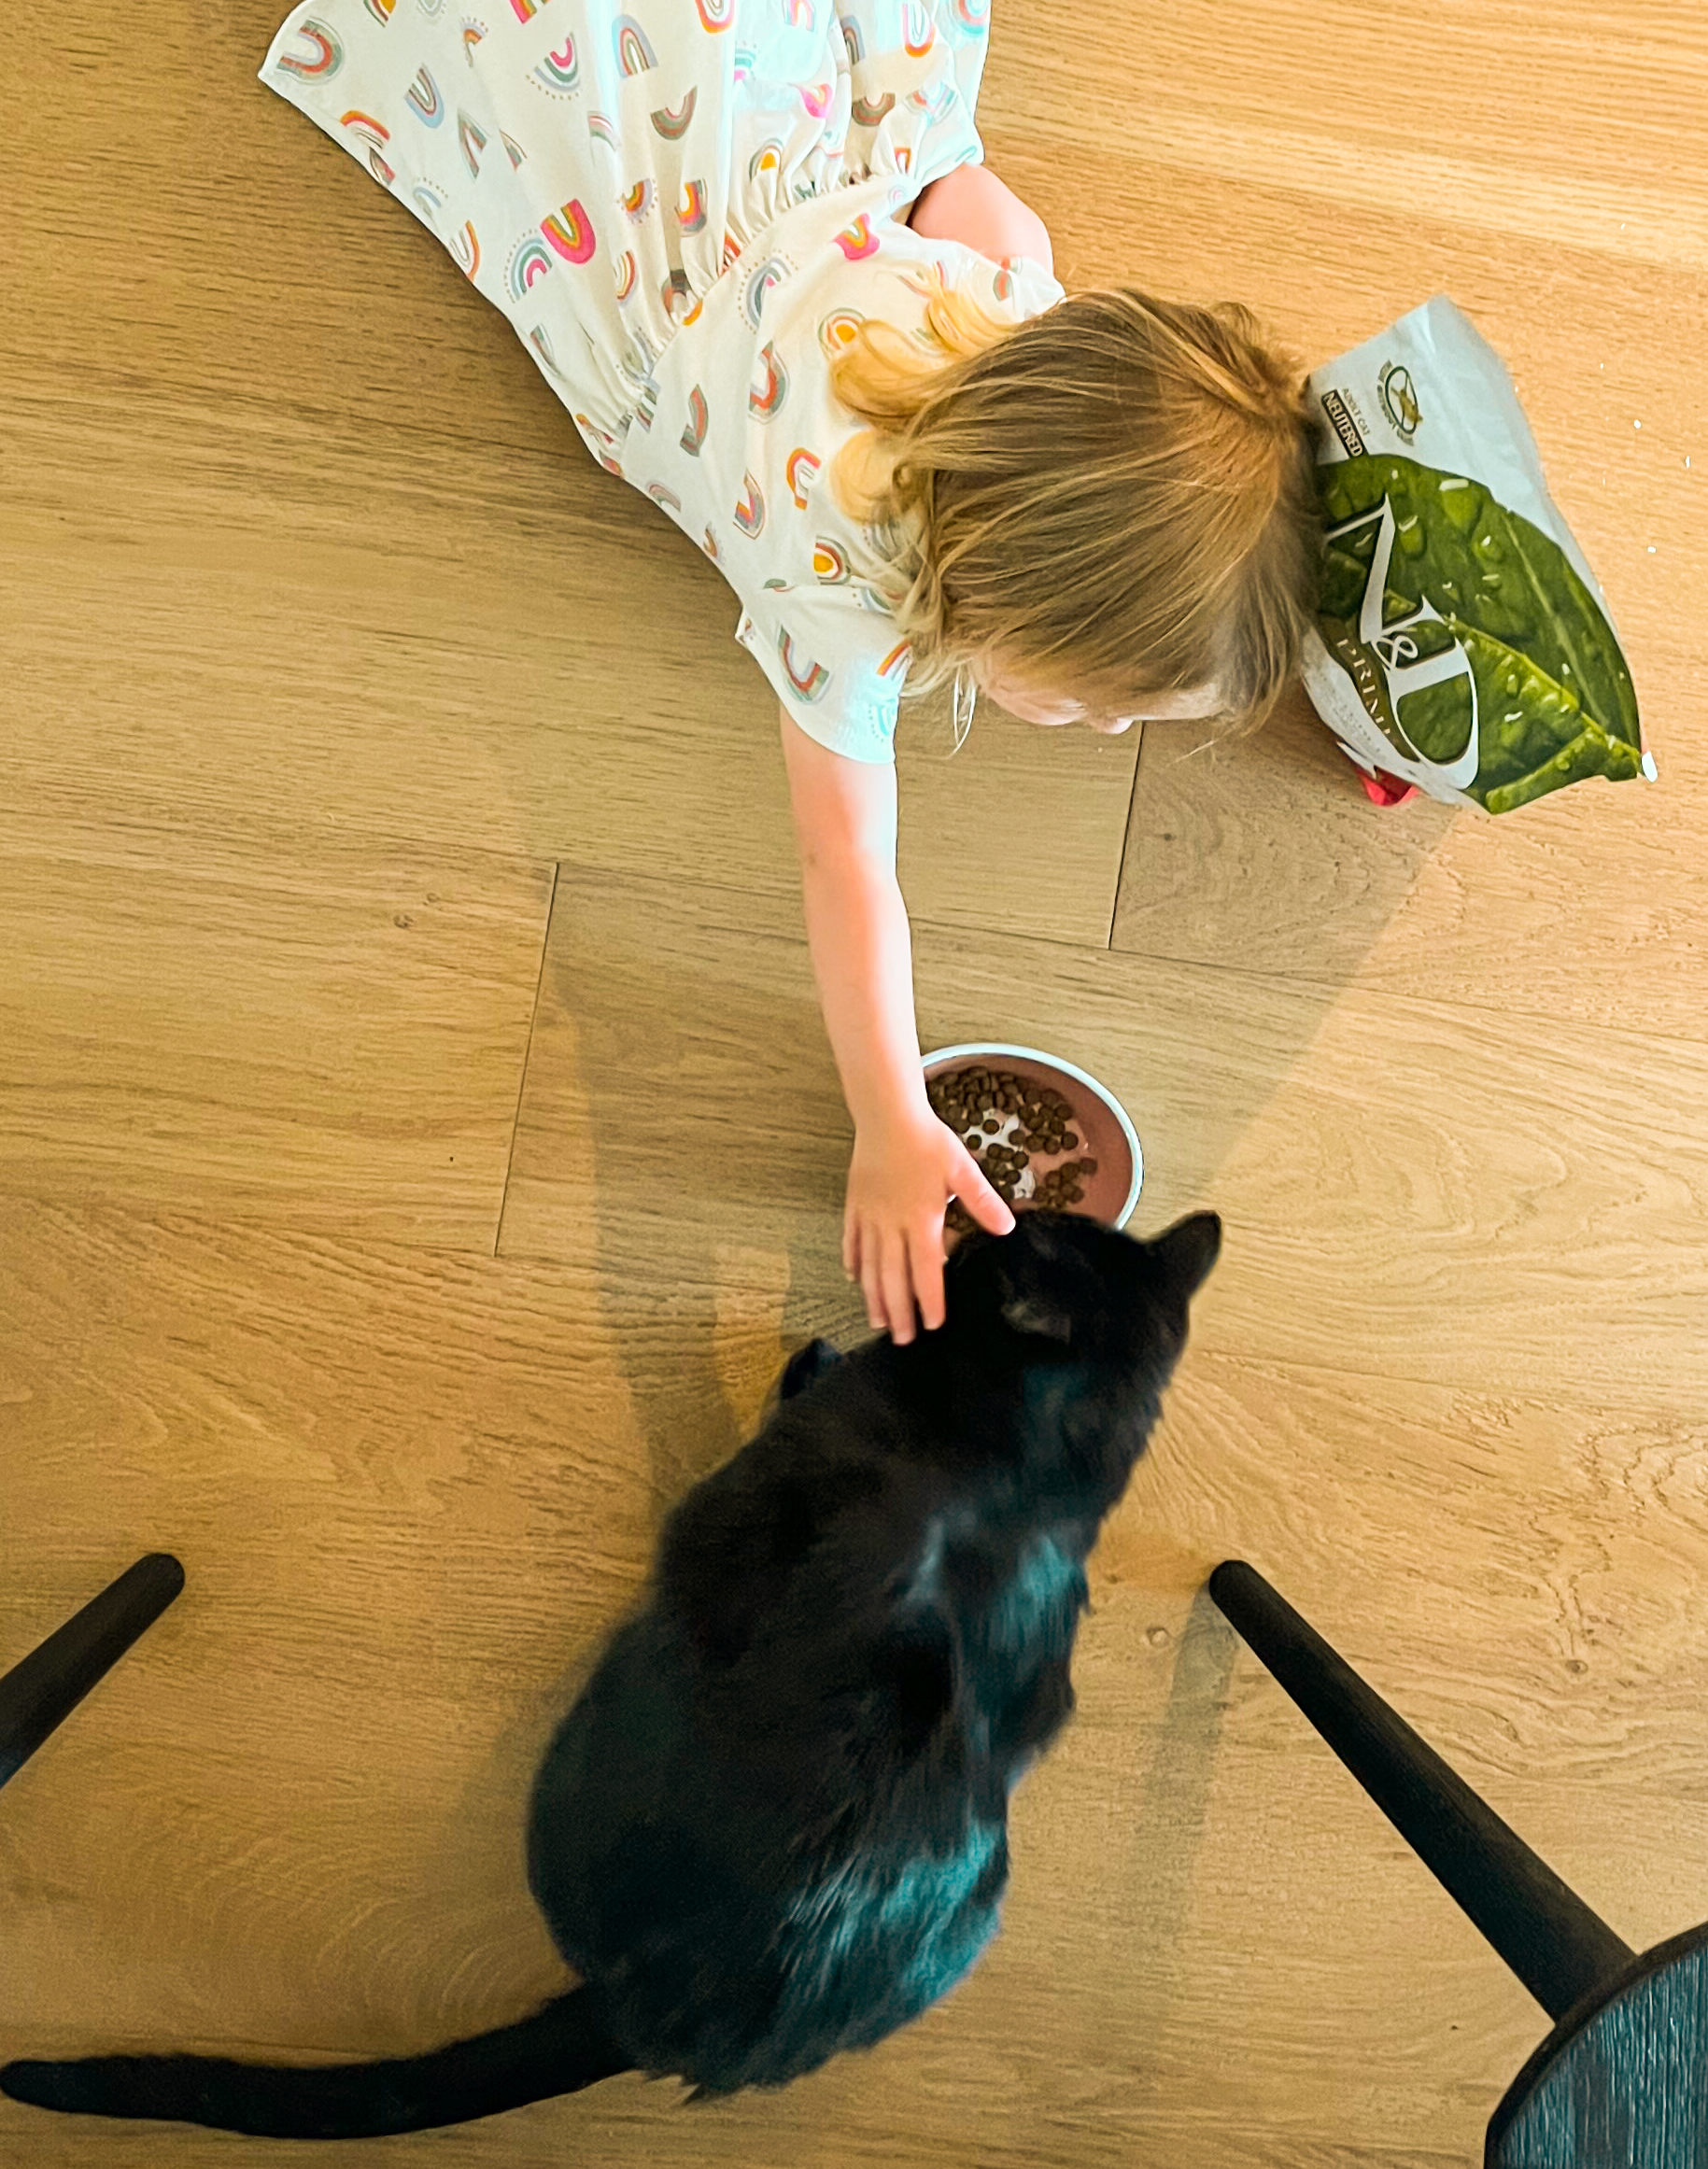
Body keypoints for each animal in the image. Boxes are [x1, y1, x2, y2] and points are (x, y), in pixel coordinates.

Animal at [3, 1214, 1233, 2143]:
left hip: (587, 1739)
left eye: (1009, 1242)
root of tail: (640, 2020)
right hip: (979, 1908)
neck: (1022, 1472)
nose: (981, 1216)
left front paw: (813, 1355)